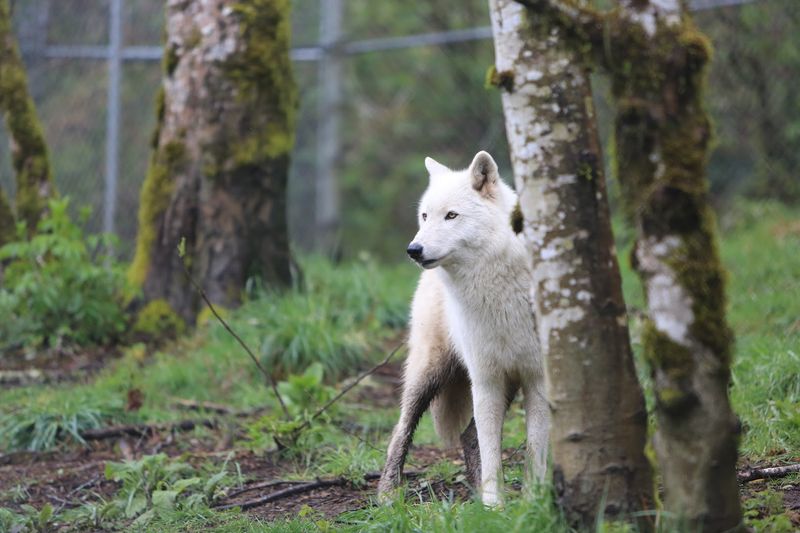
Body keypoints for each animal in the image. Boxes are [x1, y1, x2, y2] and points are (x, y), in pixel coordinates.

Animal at [378, 151, 549, 506]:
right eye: (425, 215)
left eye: (451, 215)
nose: (413, 250)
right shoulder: (485, 378)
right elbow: (491, 449)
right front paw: (494, 506)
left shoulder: (536, 378)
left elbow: (534, 450)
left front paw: (532, 502)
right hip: (429, 372)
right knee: (401, 428)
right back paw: (387, 495)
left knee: (468, 435)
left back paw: (473, 488)